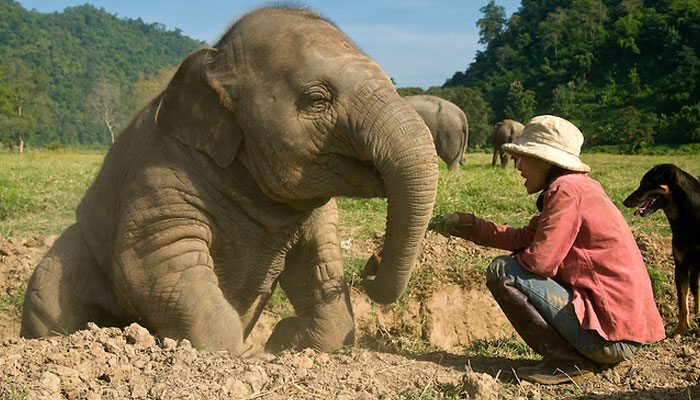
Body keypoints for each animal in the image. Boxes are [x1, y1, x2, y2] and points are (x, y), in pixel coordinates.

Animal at [20, 7, 438, 356]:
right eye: (317, 99)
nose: (371, 262)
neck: (212, 59)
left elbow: (318, 264)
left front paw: (283, 340)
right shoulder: (158, 176)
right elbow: (154, 262)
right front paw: (239, 352)